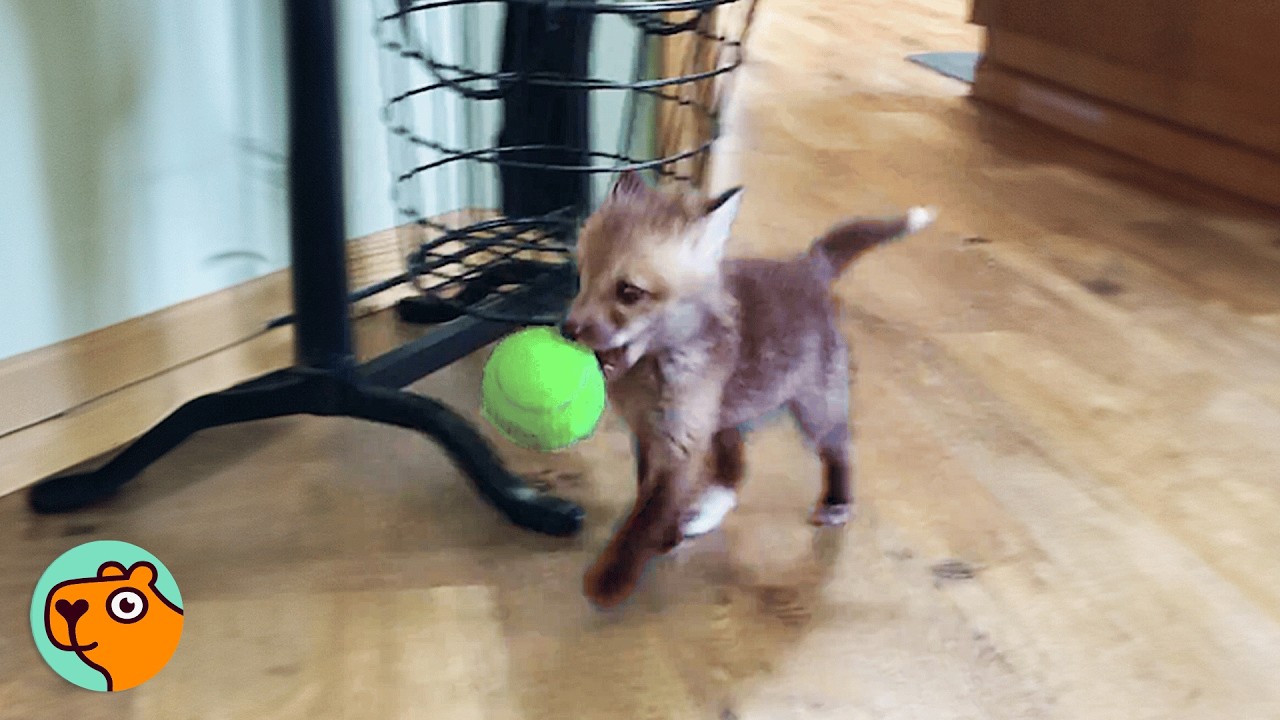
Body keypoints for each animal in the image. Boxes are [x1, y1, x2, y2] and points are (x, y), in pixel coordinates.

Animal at [562, 170, 936, 608]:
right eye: (582, 275)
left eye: (629, 292)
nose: (566, 330)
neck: (653, 376)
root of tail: (808, 265)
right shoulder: (653, 436)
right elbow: (649, 499)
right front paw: (667, 536)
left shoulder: (680, 443)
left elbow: (646, 516)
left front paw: (613, 578)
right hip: (727, 416)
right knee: (736, 469)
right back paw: (707, 509)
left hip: (816, 409)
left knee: (840, 448)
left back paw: (836, 502)